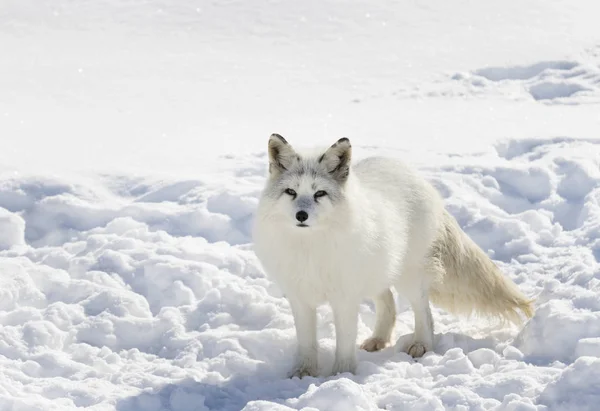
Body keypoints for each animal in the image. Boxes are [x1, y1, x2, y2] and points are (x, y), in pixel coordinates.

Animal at [251, 135, 532, 380]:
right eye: (291, 192)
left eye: (319, 193)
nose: (301, 215)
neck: (310, 248)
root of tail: (412, 173)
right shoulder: (300, 298)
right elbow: (307, 343)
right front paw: (303, 373)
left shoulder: (344, 299)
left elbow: (344, 342)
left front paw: (341, 375)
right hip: (378, 273)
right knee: (388, 303)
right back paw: (379, 339)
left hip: (409, 278)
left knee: (425, 313)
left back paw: (421, 345)